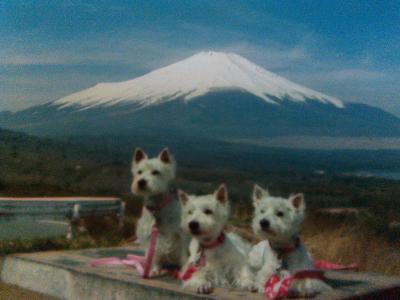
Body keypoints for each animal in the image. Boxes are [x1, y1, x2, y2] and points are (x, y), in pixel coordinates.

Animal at [132, 148, 187, 276]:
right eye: (139, 172)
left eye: (156, 172)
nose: (141, 182)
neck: (157, 206)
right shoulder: (150, 236)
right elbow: (154, 254)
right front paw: (154, 269)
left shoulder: (180, 235)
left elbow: (184, 255)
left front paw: (184, 271)